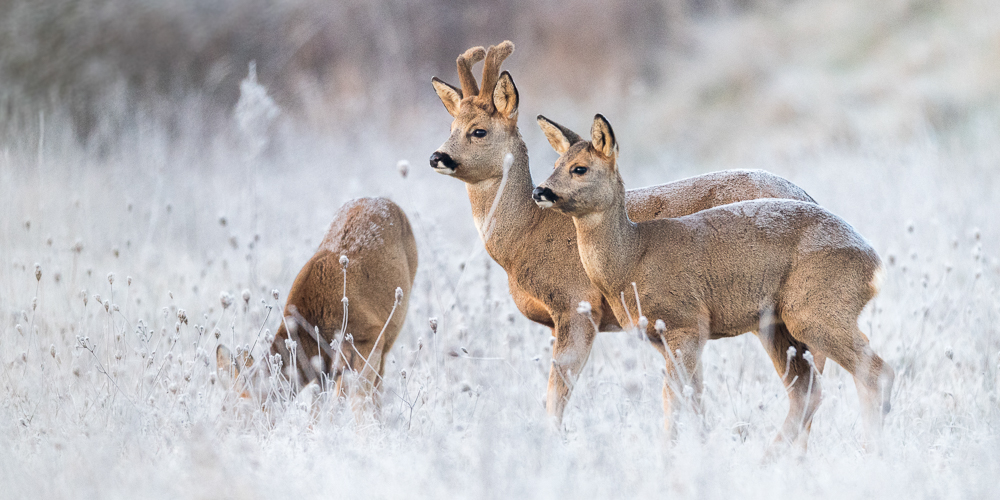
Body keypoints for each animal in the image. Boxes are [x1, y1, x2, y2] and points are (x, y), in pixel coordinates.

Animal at [217, 197, 420, 420]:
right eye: (223, 407)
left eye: (242, 411)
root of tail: (385, 200)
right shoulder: (323, 368)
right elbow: (318, 409)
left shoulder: (370, 337)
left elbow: (358, 400)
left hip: (390, 334)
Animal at [426, 40, 816, 426]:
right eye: (451, 126)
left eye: (479, 131)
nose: (437, 157)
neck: (526, 235)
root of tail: (806, 195)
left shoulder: (576, 304)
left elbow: (557, 394)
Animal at [536, 114, 896, 450]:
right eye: (555, 164)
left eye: (580, 168)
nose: (541, 191)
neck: (632, 259)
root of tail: (874, 264)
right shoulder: (663, 337)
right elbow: (693, 396)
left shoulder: (687, 322)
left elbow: (673, 397)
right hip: (783, 324)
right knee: (811, 389)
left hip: (815, 310)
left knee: (875, 372)